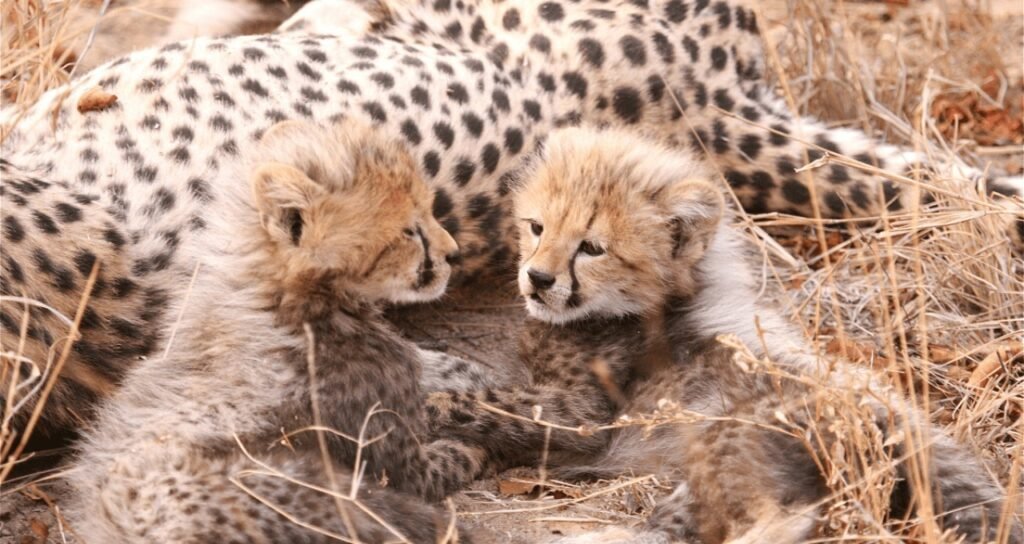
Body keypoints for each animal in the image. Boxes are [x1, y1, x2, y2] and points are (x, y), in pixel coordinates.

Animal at [68, 119, 484, 543]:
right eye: (408, 231)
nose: (453, 254)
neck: (281, 295)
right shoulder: (395, 458)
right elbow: (440, 463)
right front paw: (473, 442)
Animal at [425, 126, 1023, 544]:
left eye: (591, 248)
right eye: (537, 227)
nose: (538, 278)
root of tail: (900, 416)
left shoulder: (582, 417)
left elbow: (486, 399)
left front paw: (426, 404)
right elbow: (470, 374)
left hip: (728, 438)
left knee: (772, 522)